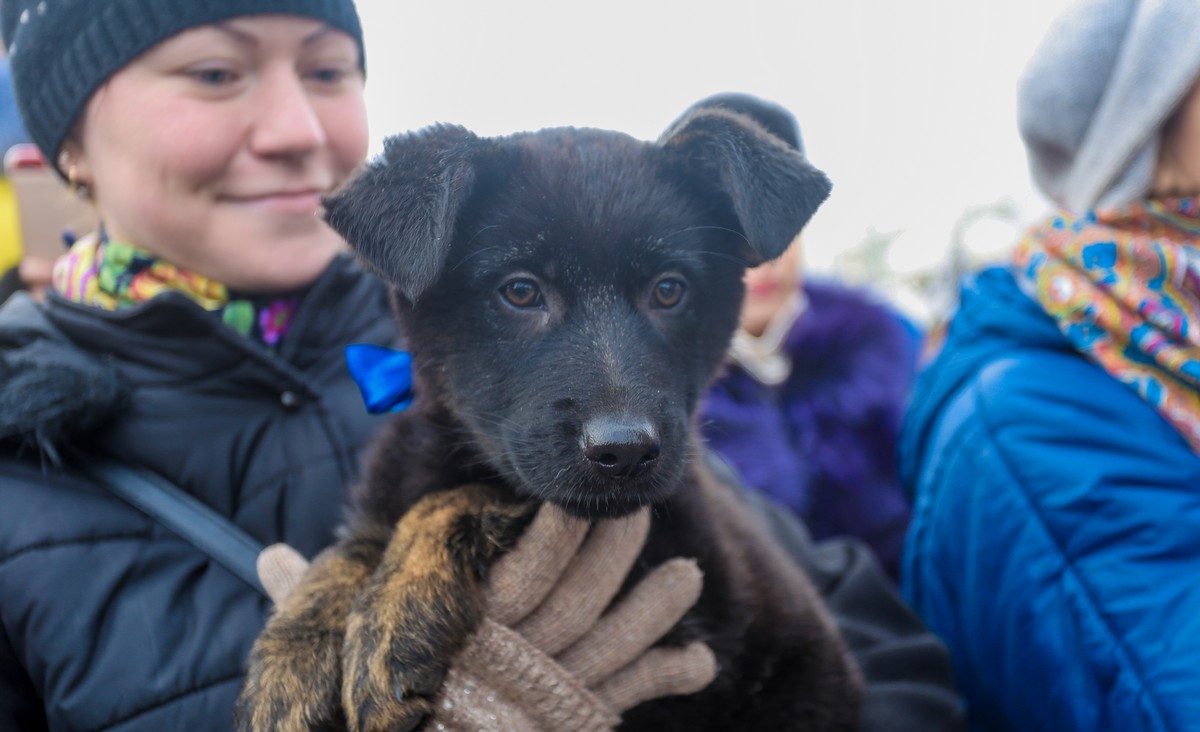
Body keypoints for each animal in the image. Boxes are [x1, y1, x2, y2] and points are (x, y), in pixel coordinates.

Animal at [234, 98, 859, 729]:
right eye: (520, 291)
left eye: (668, 290)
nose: (624, 451)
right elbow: (349, 550)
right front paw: (293, 659)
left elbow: (460, 497)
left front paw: (393, 618)